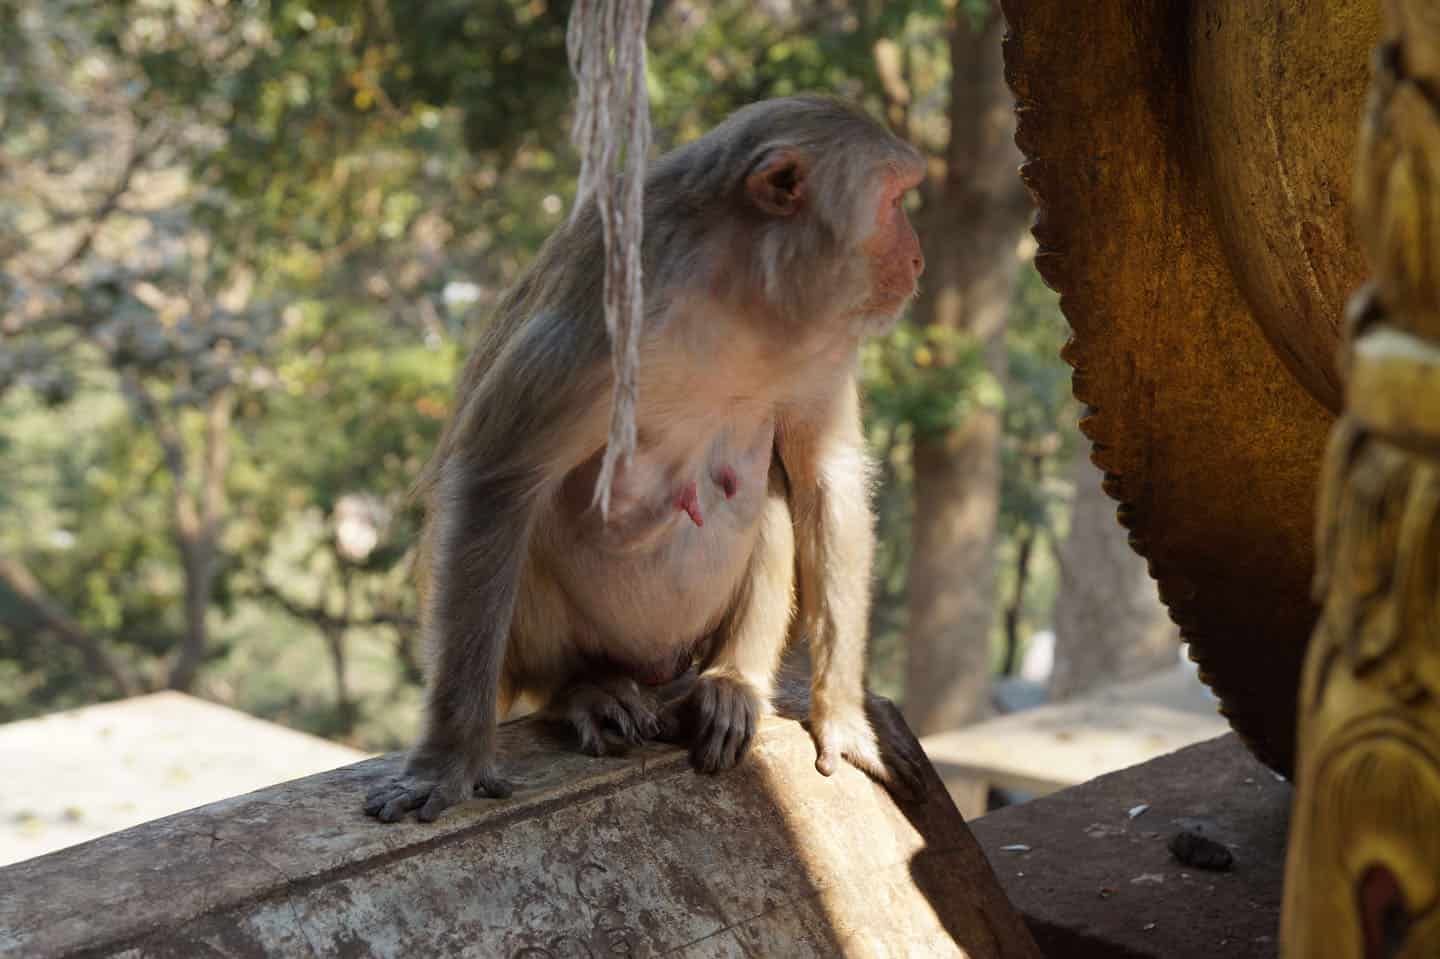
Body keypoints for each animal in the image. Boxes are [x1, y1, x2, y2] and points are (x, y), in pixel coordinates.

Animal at [362, 91, 933, 823]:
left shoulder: (828, 345)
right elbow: (497, 480)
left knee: (772, 492)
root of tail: (658, 669)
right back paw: (584, 688)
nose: (917, 259)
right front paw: (449, 761)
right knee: (529, 530)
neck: (739, 300)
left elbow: (825, 479)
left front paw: (844, 716)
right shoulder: (601, 319)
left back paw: (732, 681)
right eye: (895, 201)